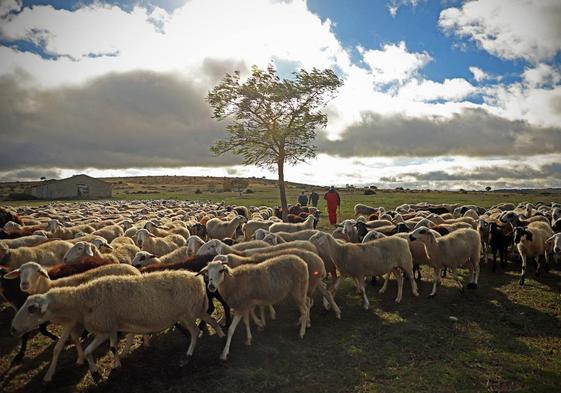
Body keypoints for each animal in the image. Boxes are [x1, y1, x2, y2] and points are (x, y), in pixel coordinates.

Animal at [10, 272, 225, 378]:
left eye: (31, 309)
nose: (13, 329)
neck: (83, 300)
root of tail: (199, 280)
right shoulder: (111, 326)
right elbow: (107, 348)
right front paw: (112, 365)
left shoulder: (104, 329)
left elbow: (93, 349)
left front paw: (101, 370)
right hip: (196, 310)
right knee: (210, 319)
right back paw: (221, 335)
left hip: (187, 314)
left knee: (195, 332)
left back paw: (188, 355)